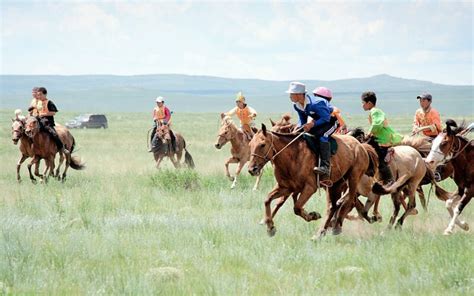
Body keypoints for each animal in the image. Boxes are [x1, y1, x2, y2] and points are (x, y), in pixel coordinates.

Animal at [246, 123, 376, 239]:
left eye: (262, 144)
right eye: (250, 144)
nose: (252, 169)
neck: (293, 157)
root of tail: (361, 146)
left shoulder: (309, 188)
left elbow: (297, 207)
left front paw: (313, 215)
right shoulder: (286, 187)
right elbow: (268, 200)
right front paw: (270, 227)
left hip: (353, 178)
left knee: (347, 202)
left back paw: (335, 227)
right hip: (335, 184)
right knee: (334, 206)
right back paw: (321, 233)